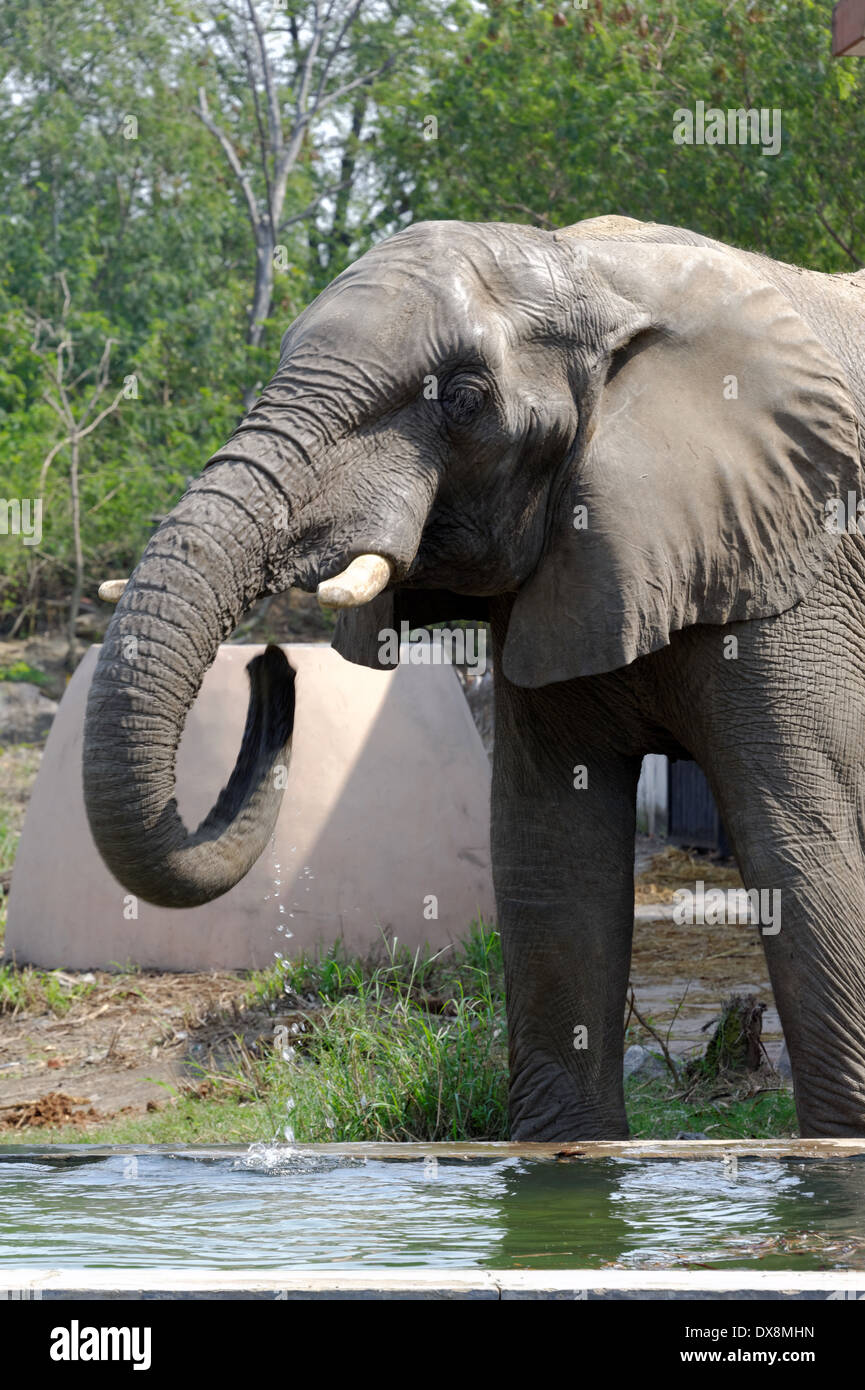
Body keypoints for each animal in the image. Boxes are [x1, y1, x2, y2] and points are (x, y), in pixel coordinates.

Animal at [83, 213, 865, 1141]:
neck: (589, 269)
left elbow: (804, 854)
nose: (270, 668)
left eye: (461, 397)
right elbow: (549, 857)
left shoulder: (795, 569)